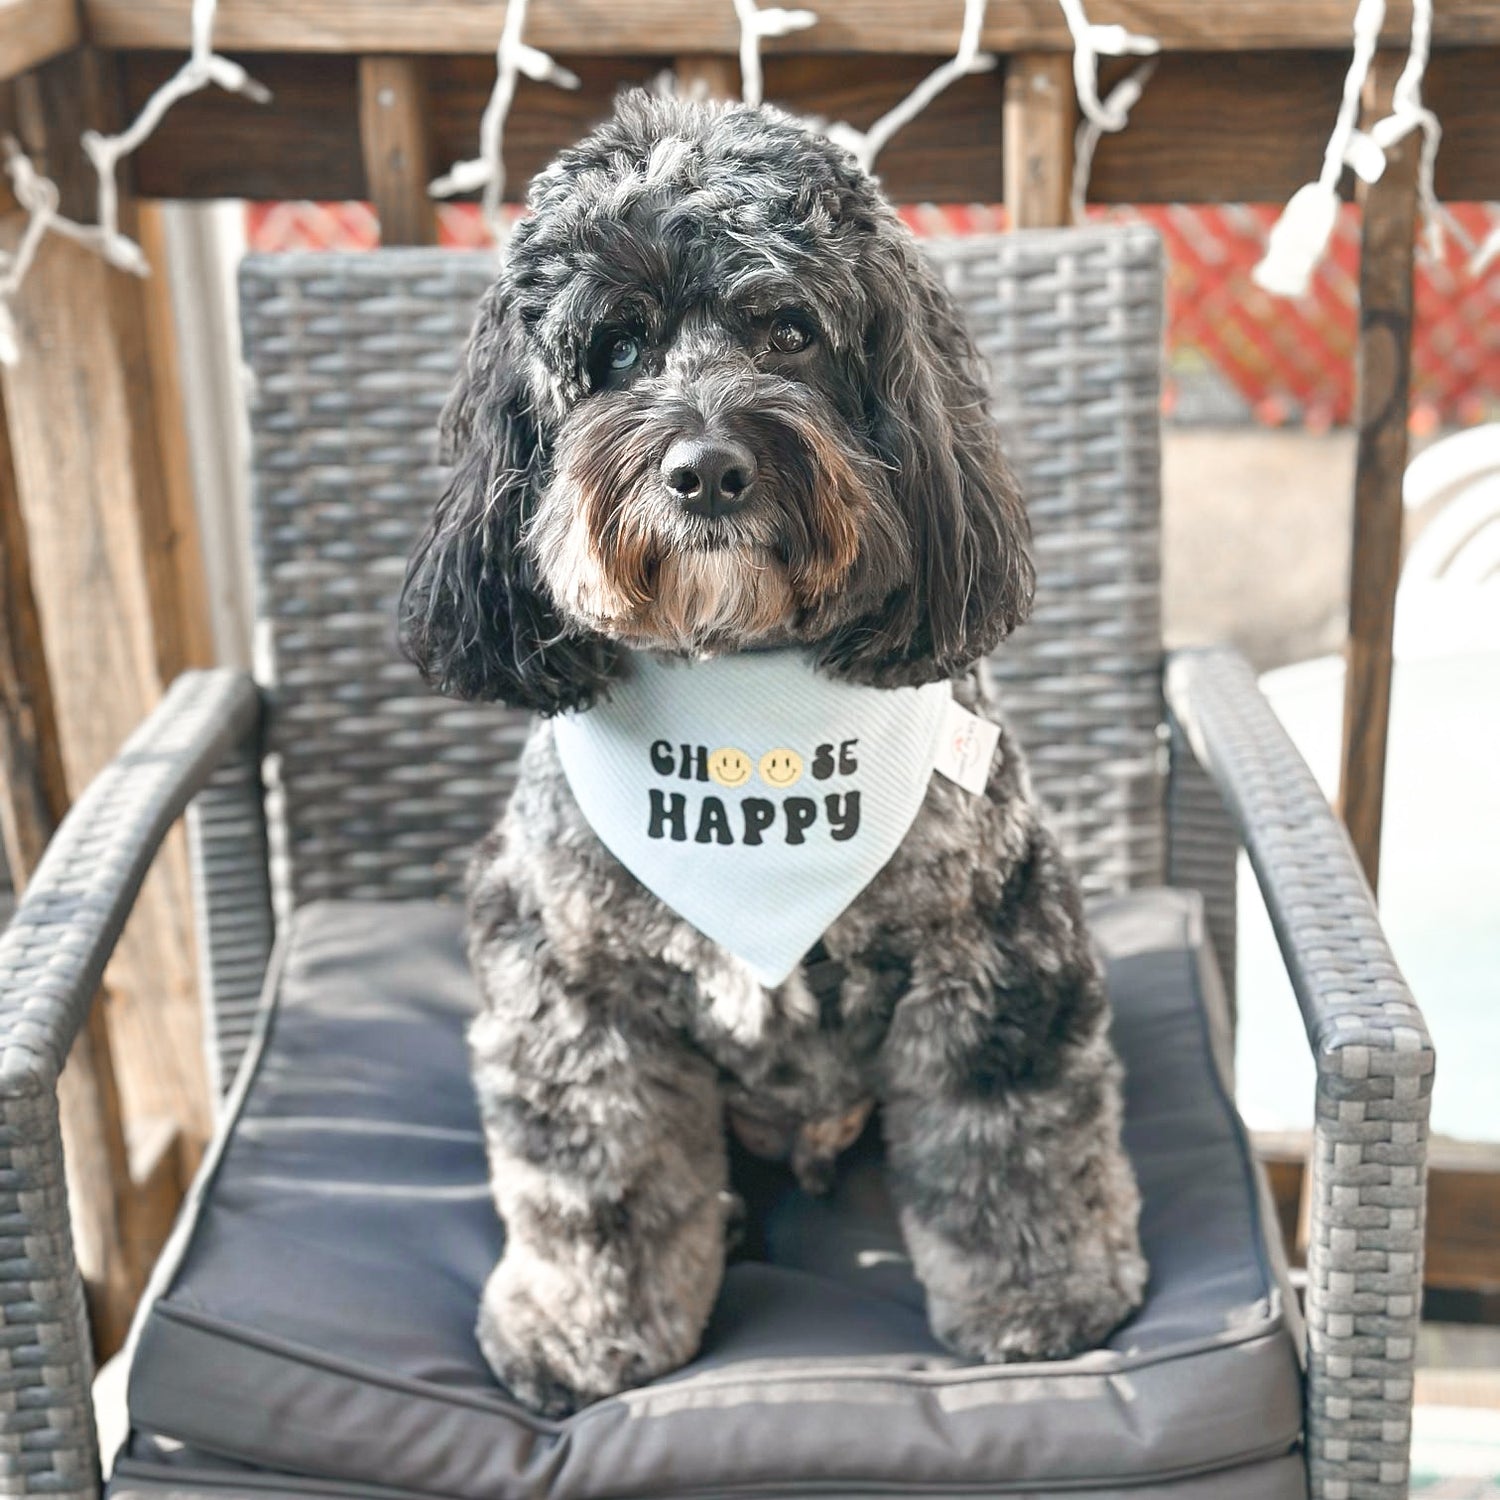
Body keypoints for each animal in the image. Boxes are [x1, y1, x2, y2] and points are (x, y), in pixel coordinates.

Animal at [399, 87, 1146, 1410]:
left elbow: (1013, 1143)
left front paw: (1042, 1302)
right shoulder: (573, 986)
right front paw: (584, 1331)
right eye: (617, 351)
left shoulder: (991, 945)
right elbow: (597, 1184)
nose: (706, 470)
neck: (746, 718)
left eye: (790, 331)